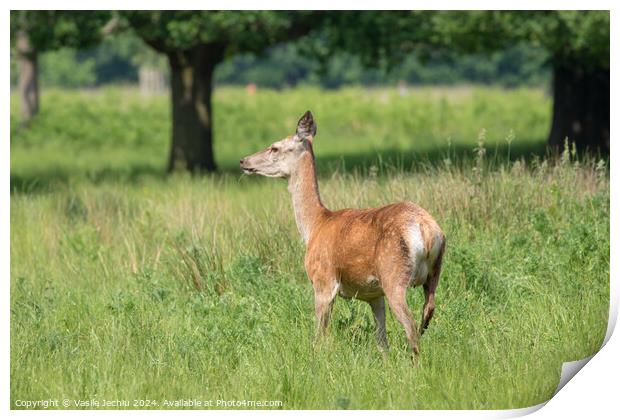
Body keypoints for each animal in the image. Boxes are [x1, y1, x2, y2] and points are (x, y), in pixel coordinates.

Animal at [239, 110, 446, 354]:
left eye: (274, 147)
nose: (244, 161)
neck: (315, 225)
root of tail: (427, 230)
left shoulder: (323, 280)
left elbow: (319, 337)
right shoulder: (374, 294)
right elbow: (381, 341)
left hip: (393, 273)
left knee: (411, 326)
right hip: (433, 272)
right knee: (427, 311)